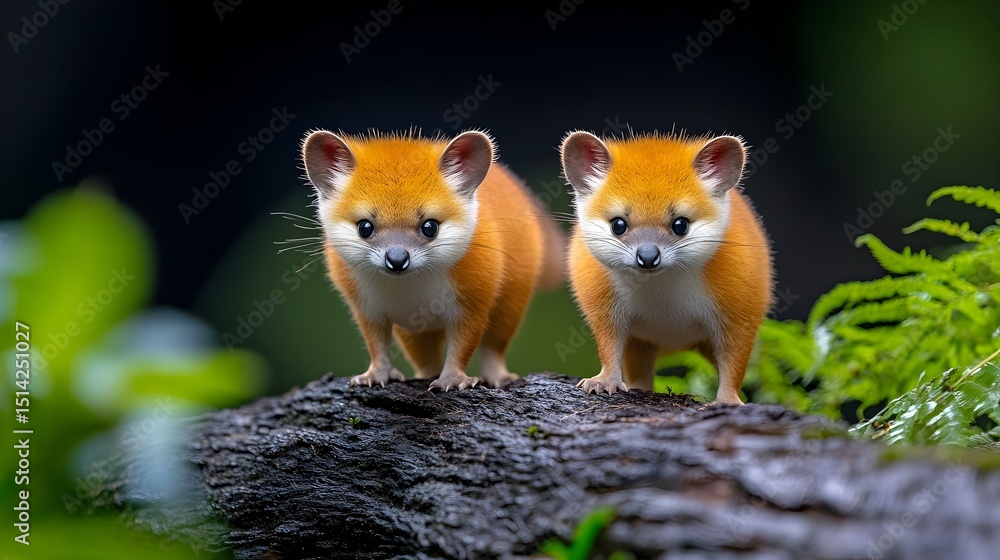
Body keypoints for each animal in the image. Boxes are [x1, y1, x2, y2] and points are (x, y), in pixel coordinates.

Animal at [301, 129, 562, 391]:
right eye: (365, 227)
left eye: (430, 227)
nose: (397, 260)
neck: (412, 291)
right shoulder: (367, 309)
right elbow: (377, 345)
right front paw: (375, 375)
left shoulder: (472, 306)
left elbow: (462, 347)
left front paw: (453, 380)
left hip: (511, 306)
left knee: (494, 347)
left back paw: (499, 377)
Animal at [559, 131, 773, 404]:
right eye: (618, 224)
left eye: (680, 224)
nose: (648, 257)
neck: (663, 299)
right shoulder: (604, 313)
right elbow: (608, 348)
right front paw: (604, 381)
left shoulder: (740, 317)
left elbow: (734, 363)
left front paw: (727, 401)